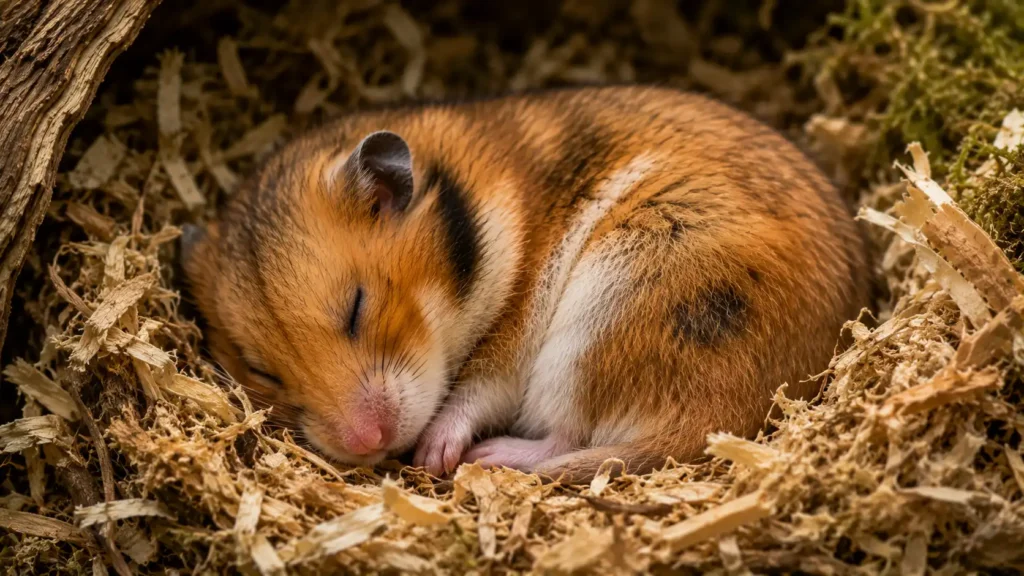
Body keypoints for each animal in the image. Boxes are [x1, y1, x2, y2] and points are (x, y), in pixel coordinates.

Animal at [181, 86, 868, 483]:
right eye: (261, 371)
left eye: (357, 307)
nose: (366, 444)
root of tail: (733, 422)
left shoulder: (511, 341)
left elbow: (472, 393)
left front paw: (431, 454)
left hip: (608, 313)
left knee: (572, 435)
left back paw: (481, 460)